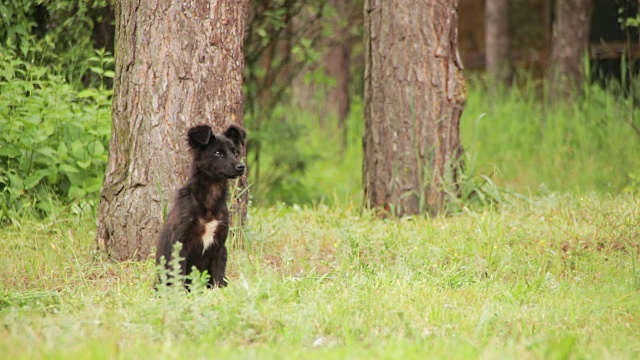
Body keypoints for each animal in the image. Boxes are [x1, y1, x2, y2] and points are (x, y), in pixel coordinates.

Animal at [156, 122, 246, 288]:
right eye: (218, 153)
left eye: (235, 152)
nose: (241, 166)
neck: (210, 197)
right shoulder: (181, 244)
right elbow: (180, 276)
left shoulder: (220, 245)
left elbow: (218, 277)